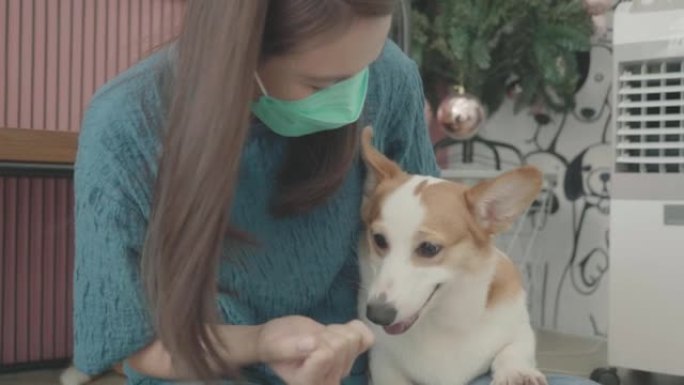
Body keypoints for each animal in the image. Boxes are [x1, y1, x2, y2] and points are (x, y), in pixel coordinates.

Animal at [358, 127, 544, 384]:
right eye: (378, 240)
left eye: (429, 248)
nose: (377, 315)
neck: (442, 321)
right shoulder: (383, 361)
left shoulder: (520, 329)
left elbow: (513, 349)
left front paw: (516, 372)